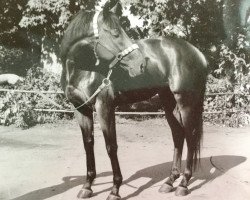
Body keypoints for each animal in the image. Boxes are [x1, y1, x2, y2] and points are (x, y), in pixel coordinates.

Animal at [60, 0, 207, 199]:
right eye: (115, 33)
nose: (141, 64)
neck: (82, 69)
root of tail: (198, 53)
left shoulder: (104, 107)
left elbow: (111, 146)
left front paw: (115, 190)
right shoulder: (80, 109)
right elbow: (88, 144)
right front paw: (87, 186)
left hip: (186, 102)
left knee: (190, 137)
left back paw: (183, 184)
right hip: (168, 102)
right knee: (178, 135)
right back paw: (169, 181)